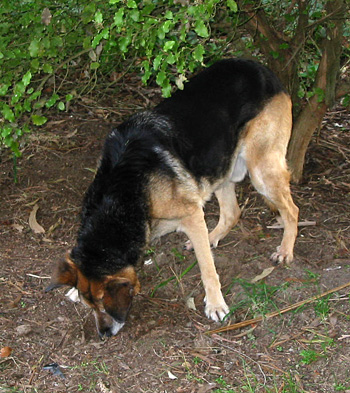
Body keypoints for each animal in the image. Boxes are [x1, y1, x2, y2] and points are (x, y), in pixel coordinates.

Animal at [45, 58, 298, 336]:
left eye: (104, 302)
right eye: (90, 304)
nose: (103, 335)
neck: (121, 194)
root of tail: (262, 69)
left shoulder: (193, 215)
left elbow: (208, 269)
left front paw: (215, 304)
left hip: (260, 171)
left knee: (291, 210)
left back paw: (285, 250)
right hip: (219, 164)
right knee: (232, 212)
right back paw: (213, 237)